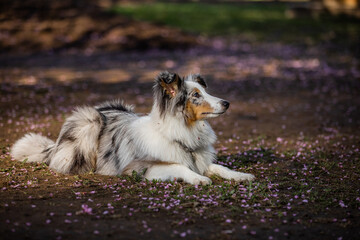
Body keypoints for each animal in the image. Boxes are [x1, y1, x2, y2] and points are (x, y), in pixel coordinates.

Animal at [10, 71, 253, 184]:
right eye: (195, 95)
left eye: (204, 91)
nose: (227, 103)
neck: (183, 130)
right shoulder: (140, 168)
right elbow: (180, 167)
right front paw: (198, 179)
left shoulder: (200, 160)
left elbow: (220, 167)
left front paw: (240, 175)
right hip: (89, 121)